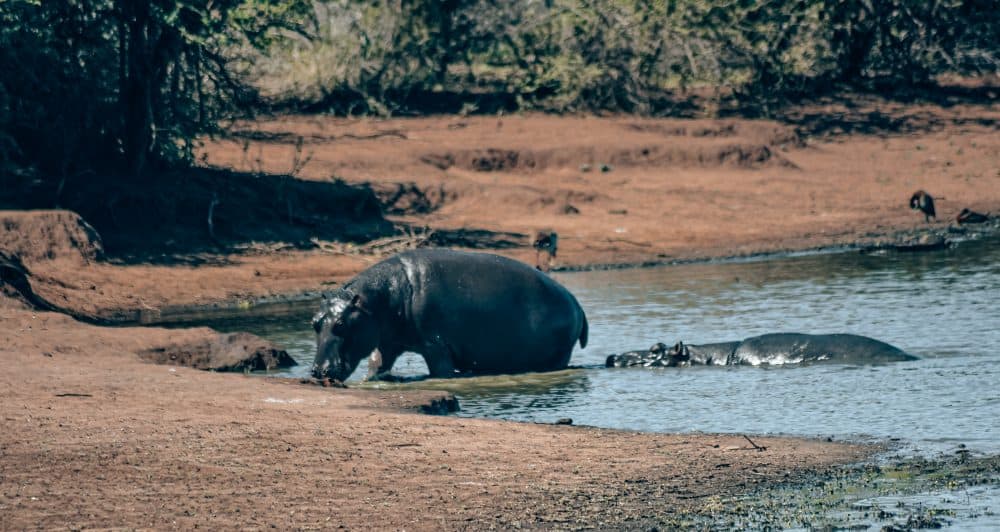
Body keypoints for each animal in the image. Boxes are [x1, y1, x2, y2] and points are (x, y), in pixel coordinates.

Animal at [312, 247, 588, 380]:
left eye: (340, 324)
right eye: (314, 322)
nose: (317, 371)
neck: (376, 300)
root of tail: (576, 303)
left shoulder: (435, 345)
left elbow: (440, 370)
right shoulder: (387, 341)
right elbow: (377, 365)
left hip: (559, 353)